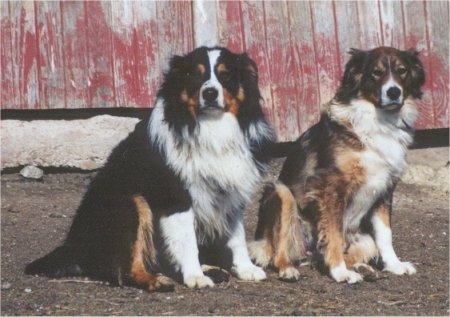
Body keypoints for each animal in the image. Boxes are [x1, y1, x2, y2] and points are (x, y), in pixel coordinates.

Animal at [250, 45, 426, 282]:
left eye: (402, 71)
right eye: (376, 73)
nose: (393, 92)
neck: (379, 121)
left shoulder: (385, 189)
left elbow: (385, 235)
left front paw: (394, 265)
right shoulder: (331, 188)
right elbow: (332, 235)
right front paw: (340, 272)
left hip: (364, 239)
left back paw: (363, 268)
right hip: (281, 193)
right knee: (279, 253)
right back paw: (289, 269)